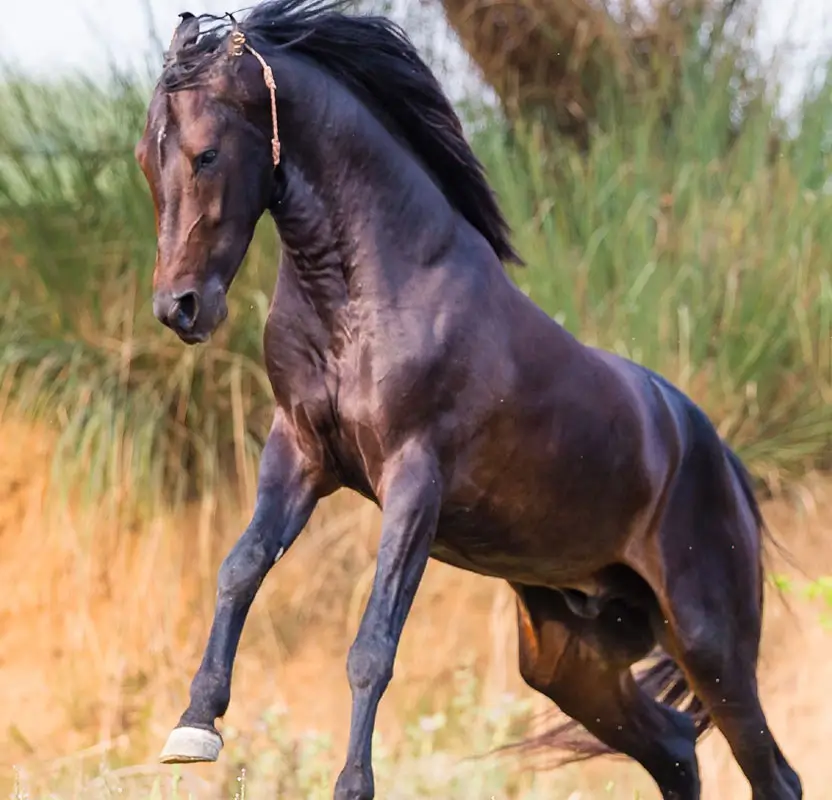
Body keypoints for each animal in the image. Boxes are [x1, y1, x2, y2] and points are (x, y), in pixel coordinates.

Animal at [134, 2, 802, 798]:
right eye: (145, 159)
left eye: (206, 154)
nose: (181, 308)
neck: (365, 293)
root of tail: (721, 459)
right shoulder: (298, 452)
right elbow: (240, 569)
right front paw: (193, 728)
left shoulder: (414, 479)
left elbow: (372, 648)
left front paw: (351, 785)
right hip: (568, 656)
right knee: (674, 747)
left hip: (709, 642)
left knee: (771, 772)